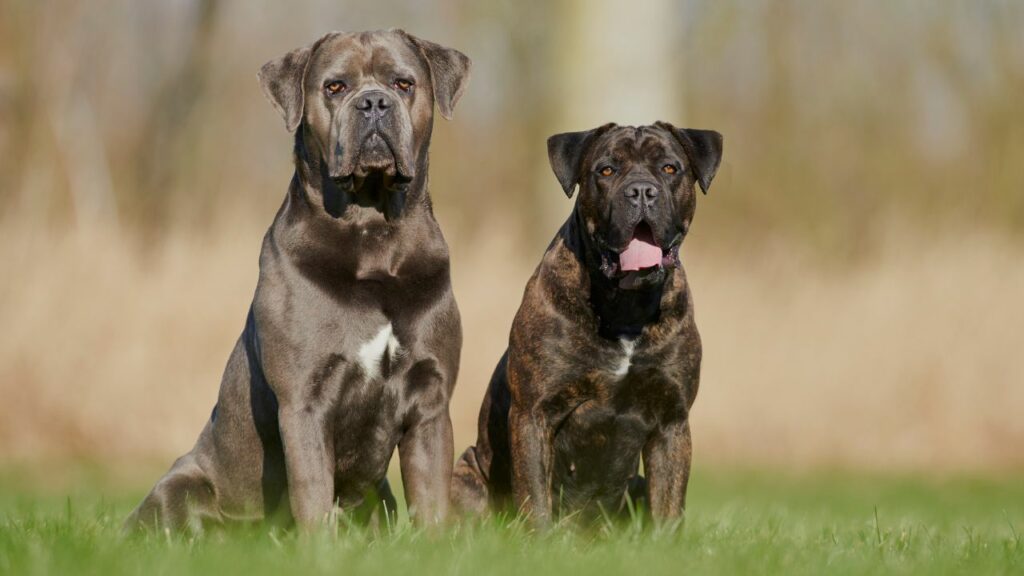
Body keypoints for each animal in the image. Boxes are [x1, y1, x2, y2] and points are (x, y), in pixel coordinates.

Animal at [124, 31, 471, 532]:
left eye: (403, 83)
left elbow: (431, 498)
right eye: (335, 86)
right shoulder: (305, 399)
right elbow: (312, 491)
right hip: (180, 485)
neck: (373, 231)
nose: (373, 103)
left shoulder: (430, 401)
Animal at [452, 120, 724, 524]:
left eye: (669, 168)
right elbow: (535, 499)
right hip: (464, 475)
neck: (625, 306)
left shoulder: (672, 422)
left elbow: (668, 507)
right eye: (606, 170)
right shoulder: (534, 415)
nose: (641, 191)